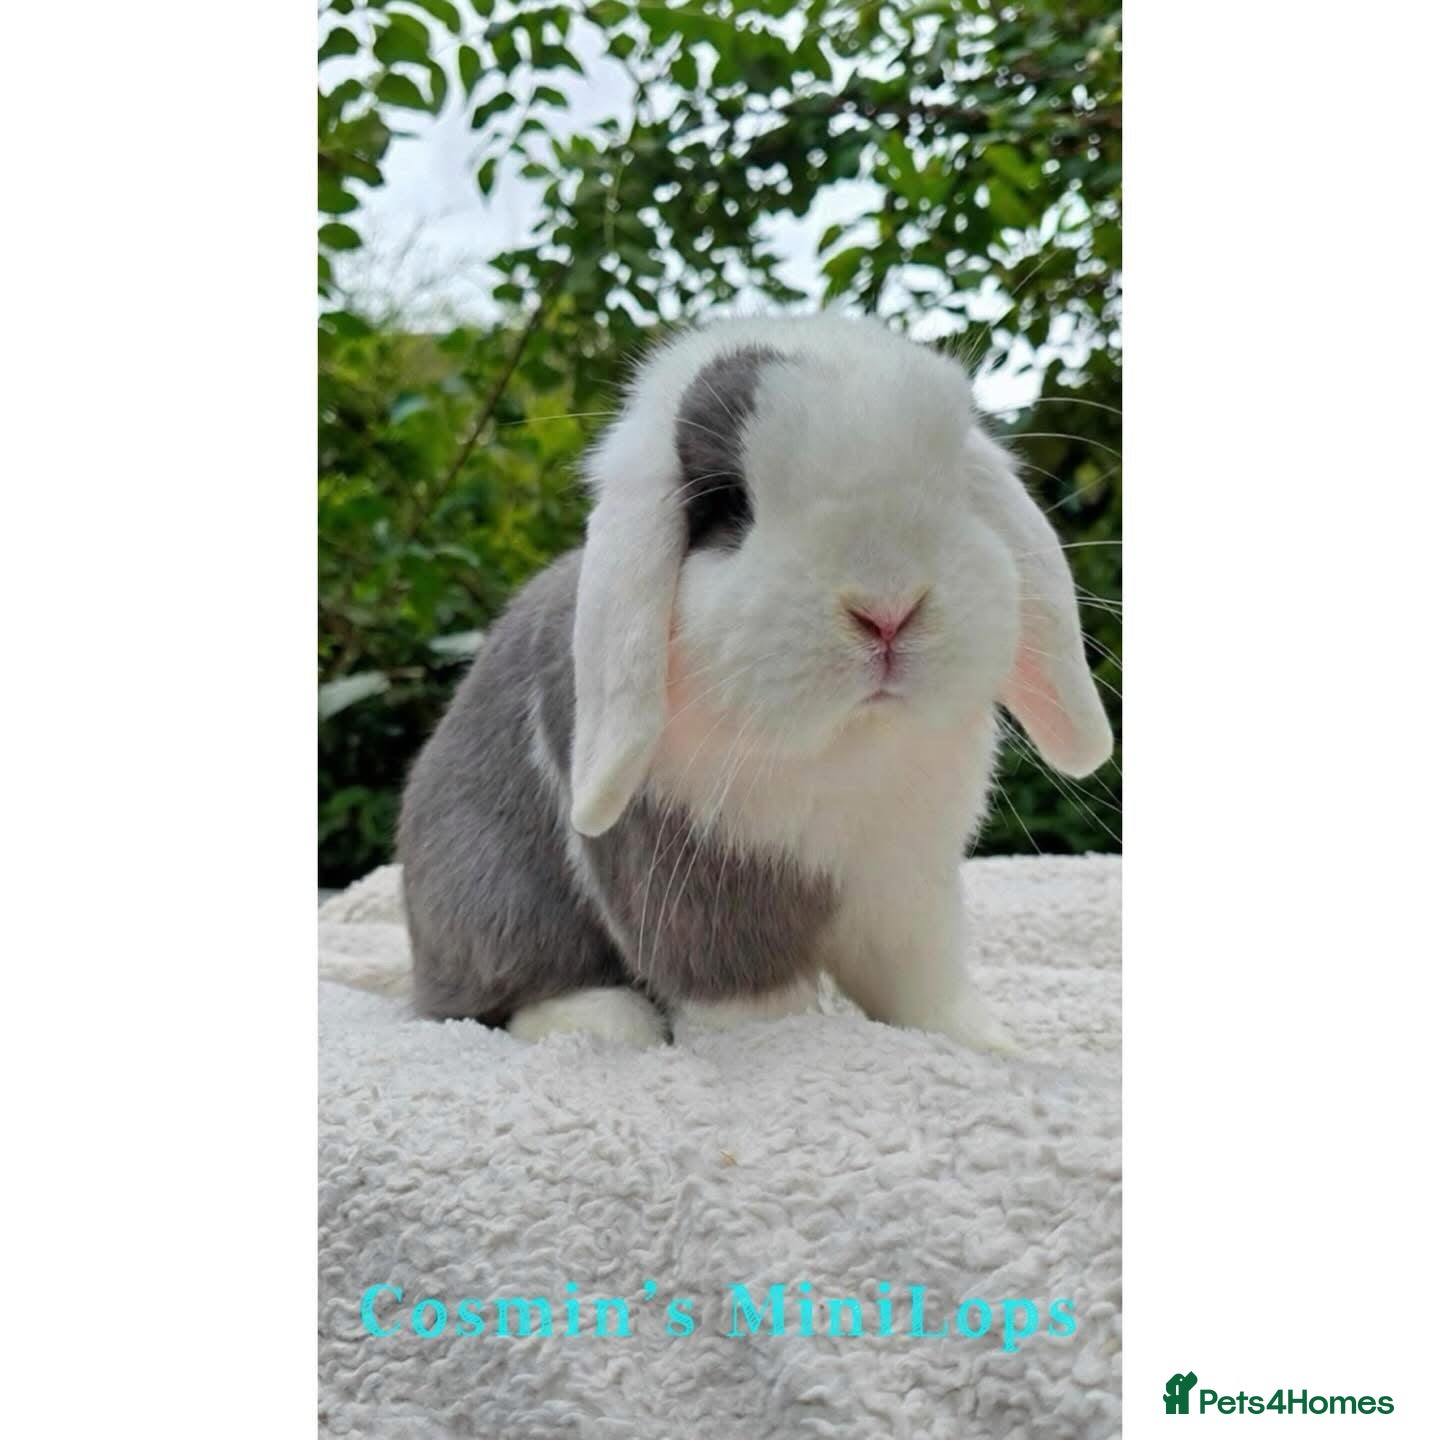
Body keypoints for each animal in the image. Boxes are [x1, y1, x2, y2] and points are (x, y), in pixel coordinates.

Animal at [397, 312, 1112, 1051]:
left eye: (956, 488)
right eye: (727, 503)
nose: (888, 609)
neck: (848, 747)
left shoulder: (908, 884)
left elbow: (924, 985)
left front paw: (988, 1047)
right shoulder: (705, 891)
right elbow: (749, 1003)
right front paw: (782, 1048)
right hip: (486, 891)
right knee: (500, 988)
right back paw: (603, 1022)